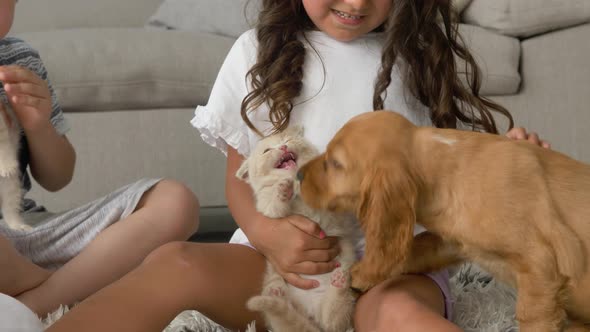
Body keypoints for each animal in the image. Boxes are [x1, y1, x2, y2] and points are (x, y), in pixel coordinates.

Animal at [237, 126, 358, 332]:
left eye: (287, 139)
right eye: (267, 151)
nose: (283, 147)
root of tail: (313, 318)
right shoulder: (268, 208)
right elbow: (274, 204)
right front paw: (282, 190)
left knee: (334, 319)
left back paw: (339, 282)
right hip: (274, 278)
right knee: (281, 313)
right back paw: (276, 292)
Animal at [300, 111, 590, 332]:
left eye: (335, 163)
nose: (299, 174)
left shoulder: (540, 264)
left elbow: (532, 317)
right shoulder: (451, 242)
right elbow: (415, 248)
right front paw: (361, 273)